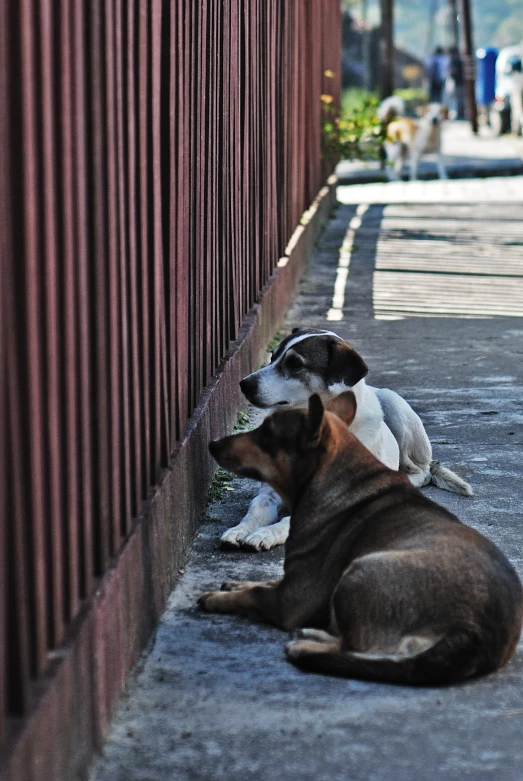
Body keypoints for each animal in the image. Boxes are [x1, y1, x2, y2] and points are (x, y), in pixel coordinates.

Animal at [203, 390, 523, 684]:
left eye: (267, 434)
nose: (212, 443)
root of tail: (472, 630)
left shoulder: (291, 598)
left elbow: (254, 595)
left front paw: (217, 597)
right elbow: (261, 580)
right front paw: (235, 580)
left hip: (360, 571)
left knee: (359, 648)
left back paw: (306, 645)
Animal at [219, 326, 472, 552]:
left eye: (294, 364)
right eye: (273, 357)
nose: (243, 384)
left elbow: (289, 522)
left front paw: (266, 534)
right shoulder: (269, 492)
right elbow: (256, 509)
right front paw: (240, 529)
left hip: (395, 405)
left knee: (421, 472)